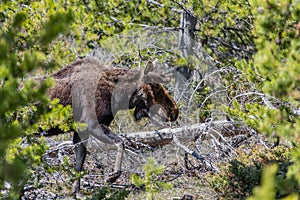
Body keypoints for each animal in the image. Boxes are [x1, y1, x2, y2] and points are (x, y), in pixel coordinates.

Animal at [42, 56, 178, 194]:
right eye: (155, 86)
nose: (174, 111)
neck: (118, 96)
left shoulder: (81, 130)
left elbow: (79, 162)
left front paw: (75, 192)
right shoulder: (91, 123)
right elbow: (120, 142)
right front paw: (112, 176)